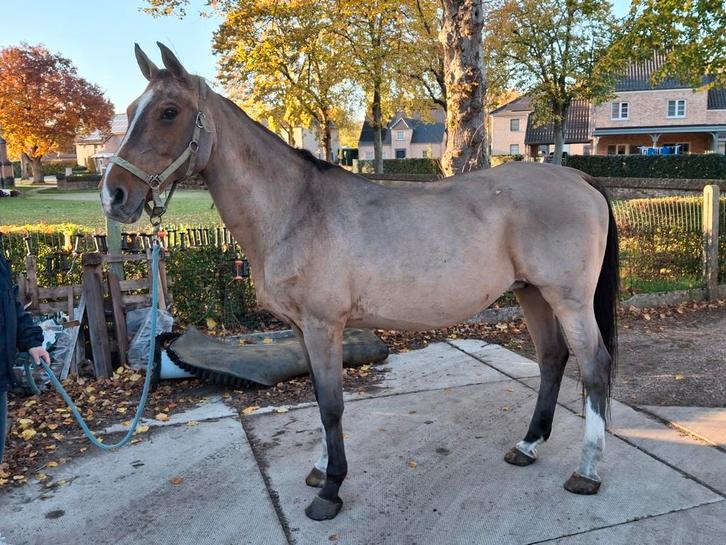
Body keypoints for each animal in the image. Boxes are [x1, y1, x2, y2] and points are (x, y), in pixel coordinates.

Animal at [101, 43, 619, 521]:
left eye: (169, 112)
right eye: (132, 108)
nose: (114, 195)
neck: (295, 210)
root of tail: (578, 177)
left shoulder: (323, 326)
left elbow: (332, 406)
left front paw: (330, 490)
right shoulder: (300, 328)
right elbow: (318, 397)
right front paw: (320, 469)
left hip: (569, 300)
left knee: (594, 365)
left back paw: (587, 472)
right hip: (532, 293)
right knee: (552, 359)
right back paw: (528, 446)